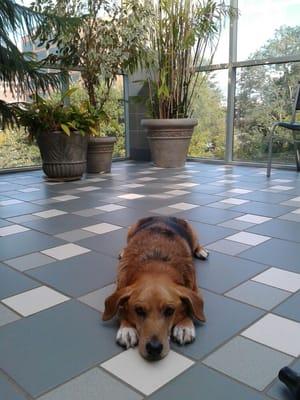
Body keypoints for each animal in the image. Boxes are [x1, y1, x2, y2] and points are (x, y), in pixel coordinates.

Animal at [102, 217, 207, 360]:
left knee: (197, 244)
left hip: (193, 234)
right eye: (139, 310)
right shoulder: (120, 286)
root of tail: (163, 217)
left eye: (170, 311)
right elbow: (121, 307)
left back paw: (201, 251)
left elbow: (191, 307)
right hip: (130, 231)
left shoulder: (195, 289)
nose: (154, 348)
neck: (156, 264)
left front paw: (184, 325)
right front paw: (127, 328)